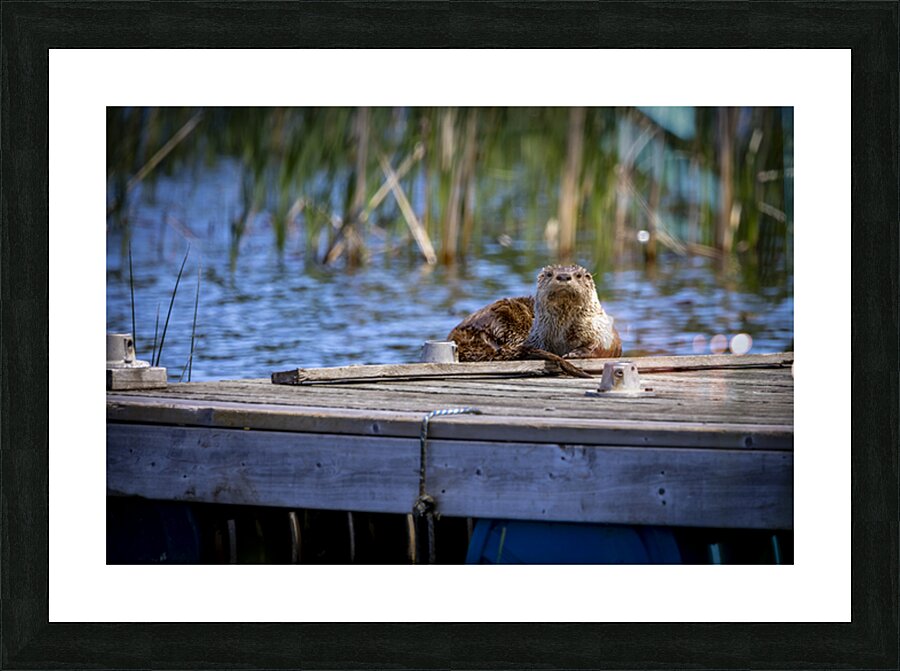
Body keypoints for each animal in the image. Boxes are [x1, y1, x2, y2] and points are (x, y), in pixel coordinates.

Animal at [447, 264, 622, 376]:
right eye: (550, 274)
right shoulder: (538, 337)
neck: (563, 335)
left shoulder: (601, 332)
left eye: (578, 276)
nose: (563, 276)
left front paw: (575, 353)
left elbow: (600, 347)